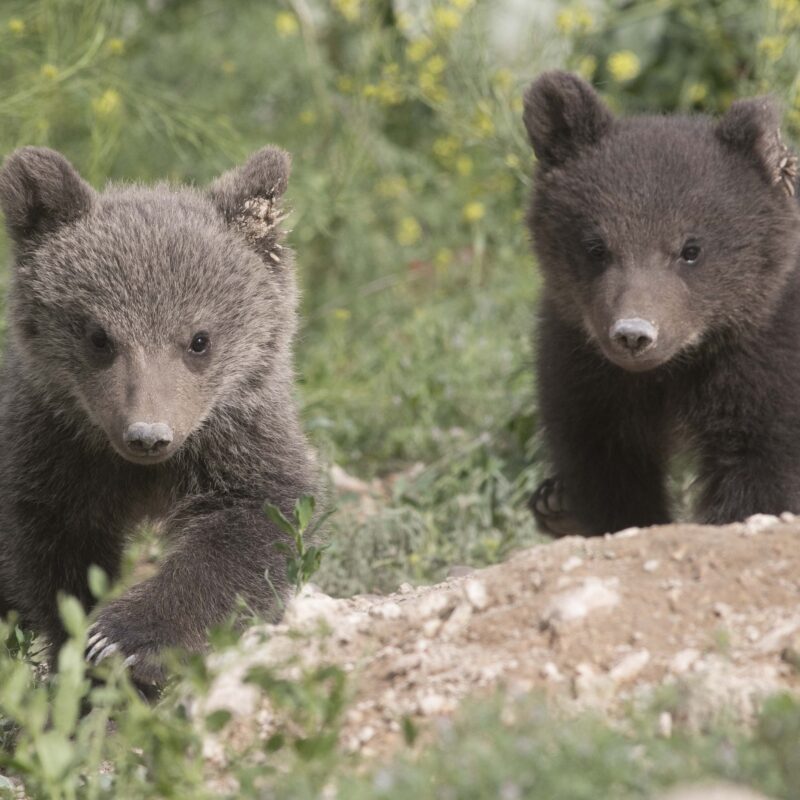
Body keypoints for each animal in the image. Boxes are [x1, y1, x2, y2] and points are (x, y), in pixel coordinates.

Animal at [0, 145, 316, 689]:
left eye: (199, 339)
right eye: (100, 336)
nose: (148, 435)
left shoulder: (238, 439)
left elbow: (254, 523)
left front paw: (125, 638)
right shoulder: (54, 449)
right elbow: (56, 556)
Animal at [522, 70, 800, 537]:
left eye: (691, 249)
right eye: (596, 246)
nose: (634, 334)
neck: (677, 369)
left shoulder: (765, 355)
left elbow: (763, 462)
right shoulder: (585, 366)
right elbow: (605, 464)